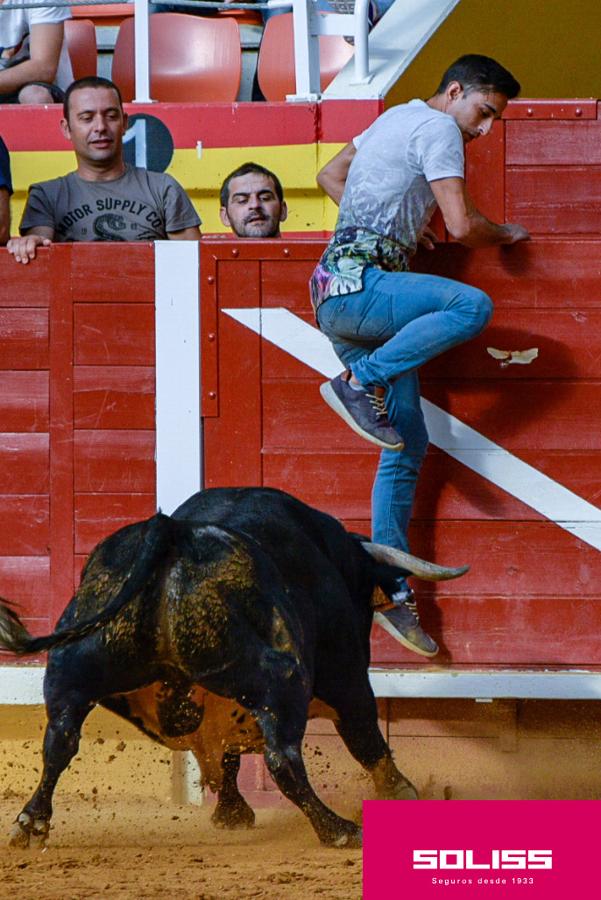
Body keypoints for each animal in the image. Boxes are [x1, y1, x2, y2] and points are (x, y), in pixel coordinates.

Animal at [0, 488, 466, 848]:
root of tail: (173, 533)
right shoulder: (348, 679)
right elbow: (366, 739)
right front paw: (401, 793)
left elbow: (223, 753)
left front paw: (231, 813)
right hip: (283, 680)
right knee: (284, 759)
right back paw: (339, 830)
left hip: (71, 672)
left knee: (59, 741)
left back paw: (31, 823)